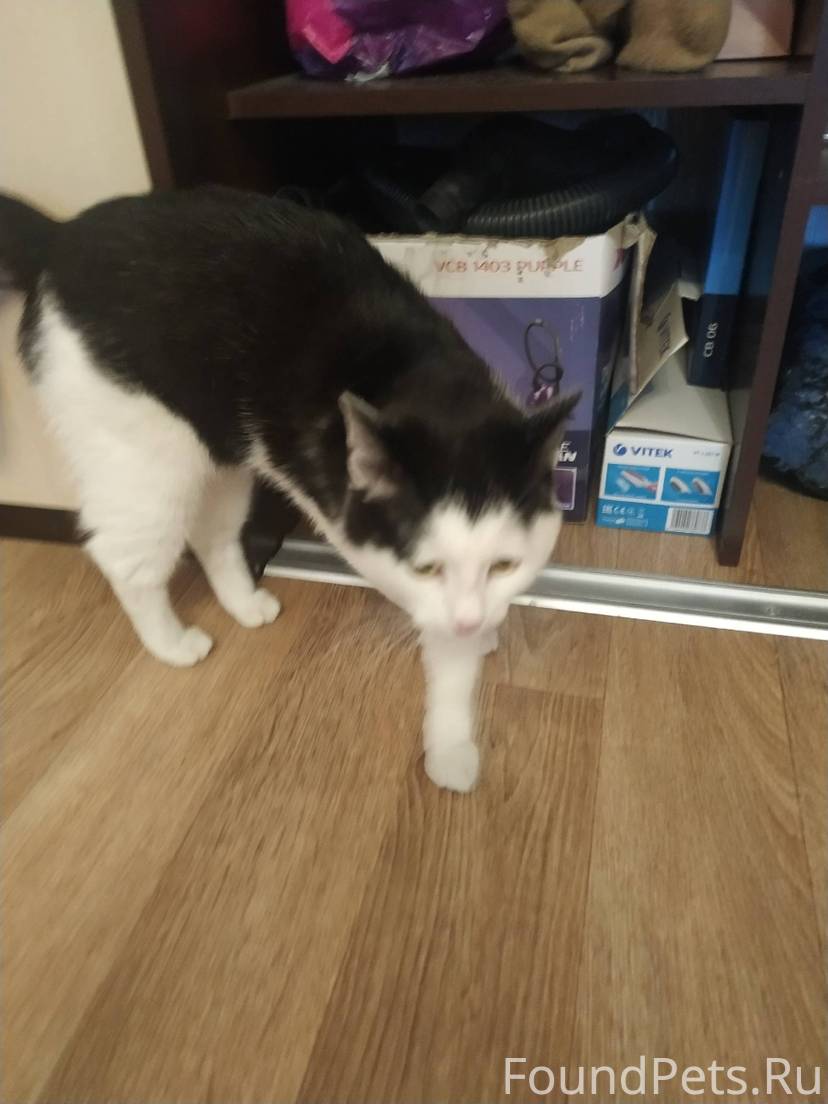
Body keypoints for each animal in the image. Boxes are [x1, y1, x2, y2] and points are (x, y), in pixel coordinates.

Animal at [0, 187, 577, 792]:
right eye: (427, 569)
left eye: (504, 565)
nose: (471, 620)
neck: (431, 387)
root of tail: (60, 236)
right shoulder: (417, 590)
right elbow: (447, 659)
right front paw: (451, 748)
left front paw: (486, 632)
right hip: (145, 460)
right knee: (127, 560)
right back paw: (172, 644)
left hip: (221, 458)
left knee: (213, 536)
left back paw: (243, 604)